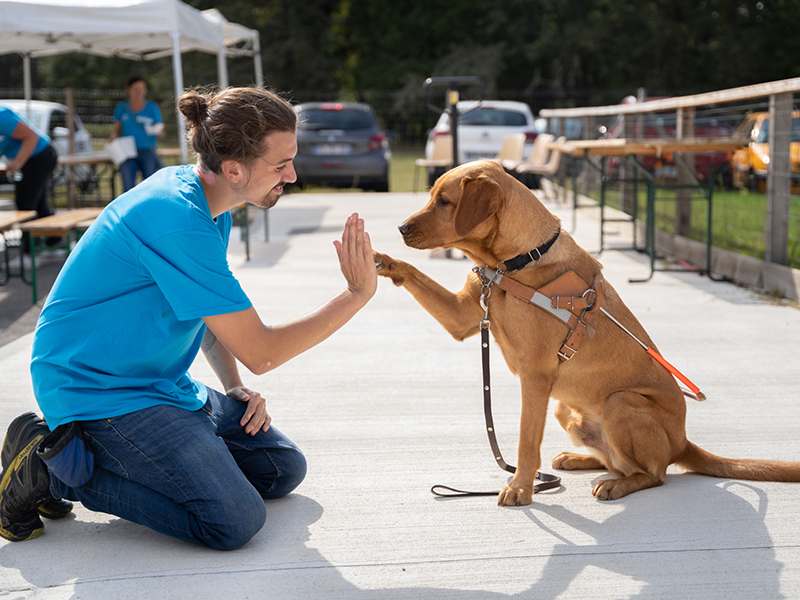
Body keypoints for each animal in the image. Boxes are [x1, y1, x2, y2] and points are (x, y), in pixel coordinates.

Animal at [376, 159, 800, 506]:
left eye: (445, 201)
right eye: (432, 196)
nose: (400, 228)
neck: (513, 263)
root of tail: (683, 441)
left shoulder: (536, 376)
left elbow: (526, 442)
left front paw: (521, 488)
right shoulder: (463, 318)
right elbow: (414, 274)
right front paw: (381, 260)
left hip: (619, 402)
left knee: (653, 474)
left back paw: (616, 486)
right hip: (567, 407)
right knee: (616, 462)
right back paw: (578, 459)